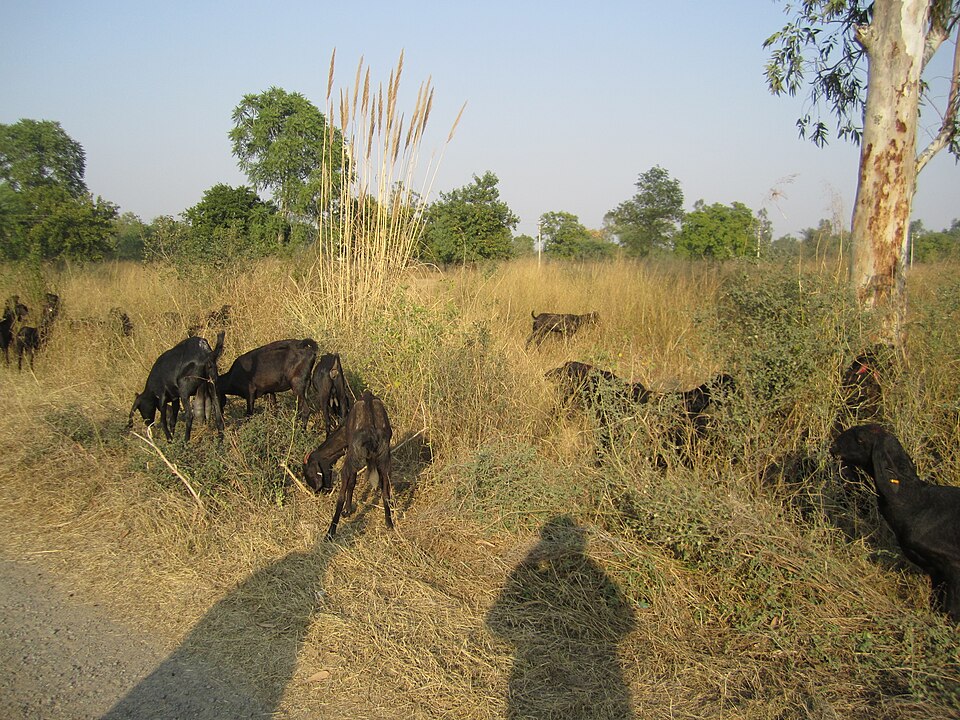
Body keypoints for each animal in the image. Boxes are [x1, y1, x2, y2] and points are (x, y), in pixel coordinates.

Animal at [303, 391, 394, 540]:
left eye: (308, 473)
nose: (321, 491)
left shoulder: (351, 458)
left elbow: (351, 484)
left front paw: (347, 510)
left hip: (351, 461)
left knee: (341, 494)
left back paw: (330, 531)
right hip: (384, 459)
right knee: (385, 490)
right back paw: (389, 522)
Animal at [830, 424, 960, 621]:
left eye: (860, 439)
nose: (833, 447)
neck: (914, 503)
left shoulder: (953, 565)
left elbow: (951, 611)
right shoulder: (936, 572)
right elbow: (936, 605)